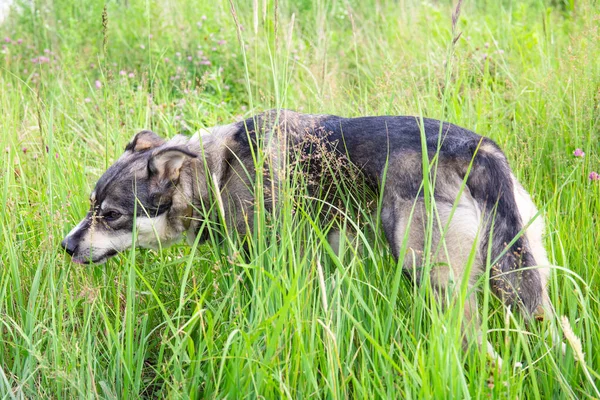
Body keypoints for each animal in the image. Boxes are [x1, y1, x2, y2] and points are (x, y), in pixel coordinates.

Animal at [63, 109, 556, 366]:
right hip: (523, 282)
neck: (218, 172)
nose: (65, 246)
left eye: (111, 215)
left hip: (435, 280)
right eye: (91, 206)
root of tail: (475, 148)